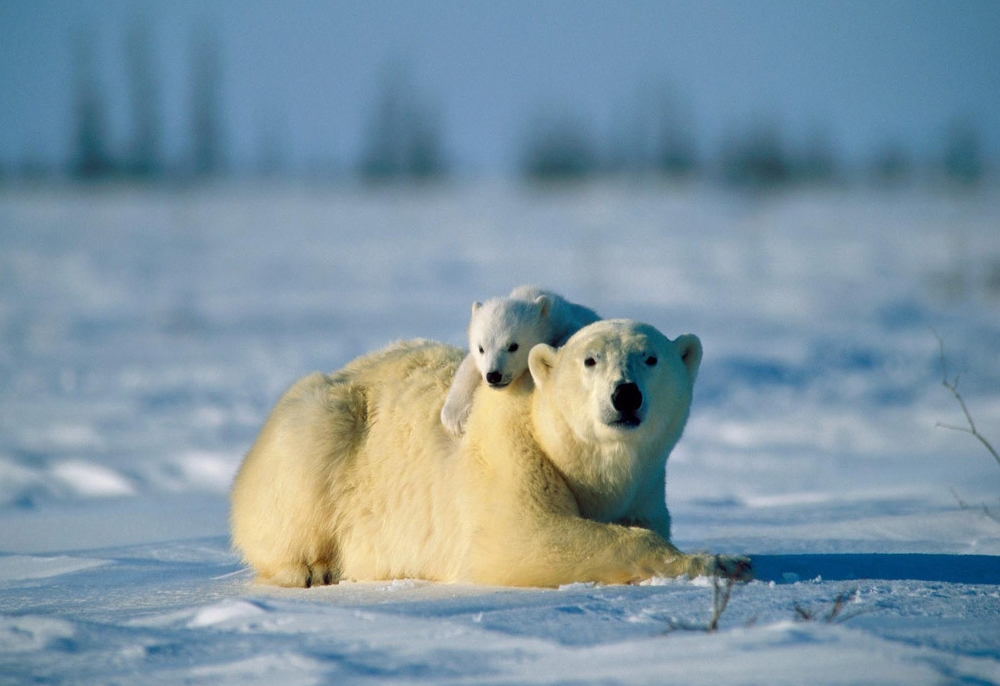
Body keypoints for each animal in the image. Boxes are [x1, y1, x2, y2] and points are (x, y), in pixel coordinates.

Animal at [229, 319, 751, 588]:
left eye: (651, 358)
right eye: (590, 360)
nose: (625, 395)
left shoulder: (645, 488)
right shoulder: (509, 453)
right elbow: (525, 536)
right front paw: (722, 562)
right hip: (321, 425)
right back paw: (310, 568)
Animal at [440, 285, 601, 436]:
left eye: (513, 346)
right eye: (481, 348)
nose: (493, 376)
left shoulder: (565, 321)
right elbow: (468, 365)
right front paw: (455, 418)